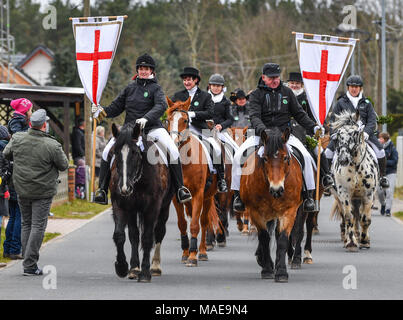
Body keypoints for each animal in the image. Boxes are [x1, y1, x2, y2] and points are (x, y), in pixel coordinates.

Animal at [109, 121, 174, 282]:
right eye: (115, 152)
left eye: (135, 153)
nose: (124, 188)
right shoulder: (121, 205)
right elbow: (121, 235)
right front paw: (123, 267)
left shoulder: (152, 207)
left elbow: (147, 238)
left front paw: (145, 273)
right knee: (134, 235)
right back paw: (134, 268)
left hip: (164, 207)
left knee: (159, 232)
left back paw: (155, 267)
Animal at [240, 126, 304, 282]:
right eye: (265, 158)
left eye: (286, 158)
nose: (277, 190)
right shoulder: (255, 212)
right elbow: (264, 237)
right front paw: (267, 268)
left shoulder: (289, 211)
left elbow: (282, 239)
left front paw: (281, 272)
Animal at [328, 111, 378, 251]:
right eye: (338, 135)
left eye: (355, 133)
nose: (343, 159)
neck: (356, 166)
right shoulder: (344, 194)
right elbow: (349, 217)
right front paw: (351, 242)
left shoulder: (368, 195)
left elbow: (365, 219)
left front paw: (364, 241)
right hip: (341, 197)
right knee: (350, 216)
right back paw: (349, 236)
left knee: (359, 215)